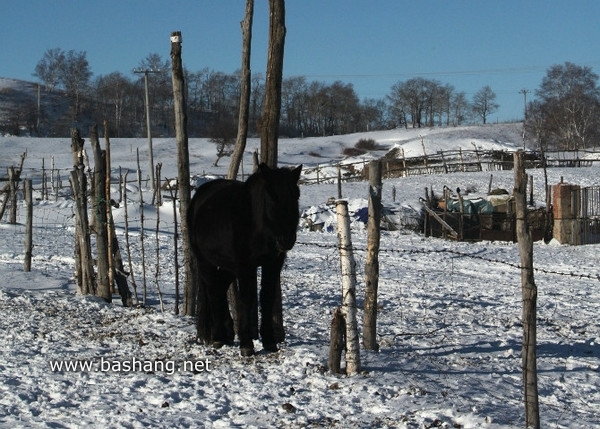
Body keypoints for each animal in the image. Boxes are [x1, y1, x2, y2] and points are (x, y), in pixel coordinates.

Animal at [188, 162, 302, 356]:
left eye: (296, 195)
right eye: (271, 196)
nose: (286, 240)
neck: (256, 224)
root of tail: (200, 196)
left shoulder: (272, 264)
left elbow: (266, 297)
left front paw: (269, 342)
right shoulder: (244, 266)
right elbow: (246, 299)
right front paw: (246, 344)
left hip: (227, 267)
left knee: (219, 289)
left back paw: (227, 334)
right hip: (205, 262)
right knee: (212, 291)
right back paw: (218, 336)